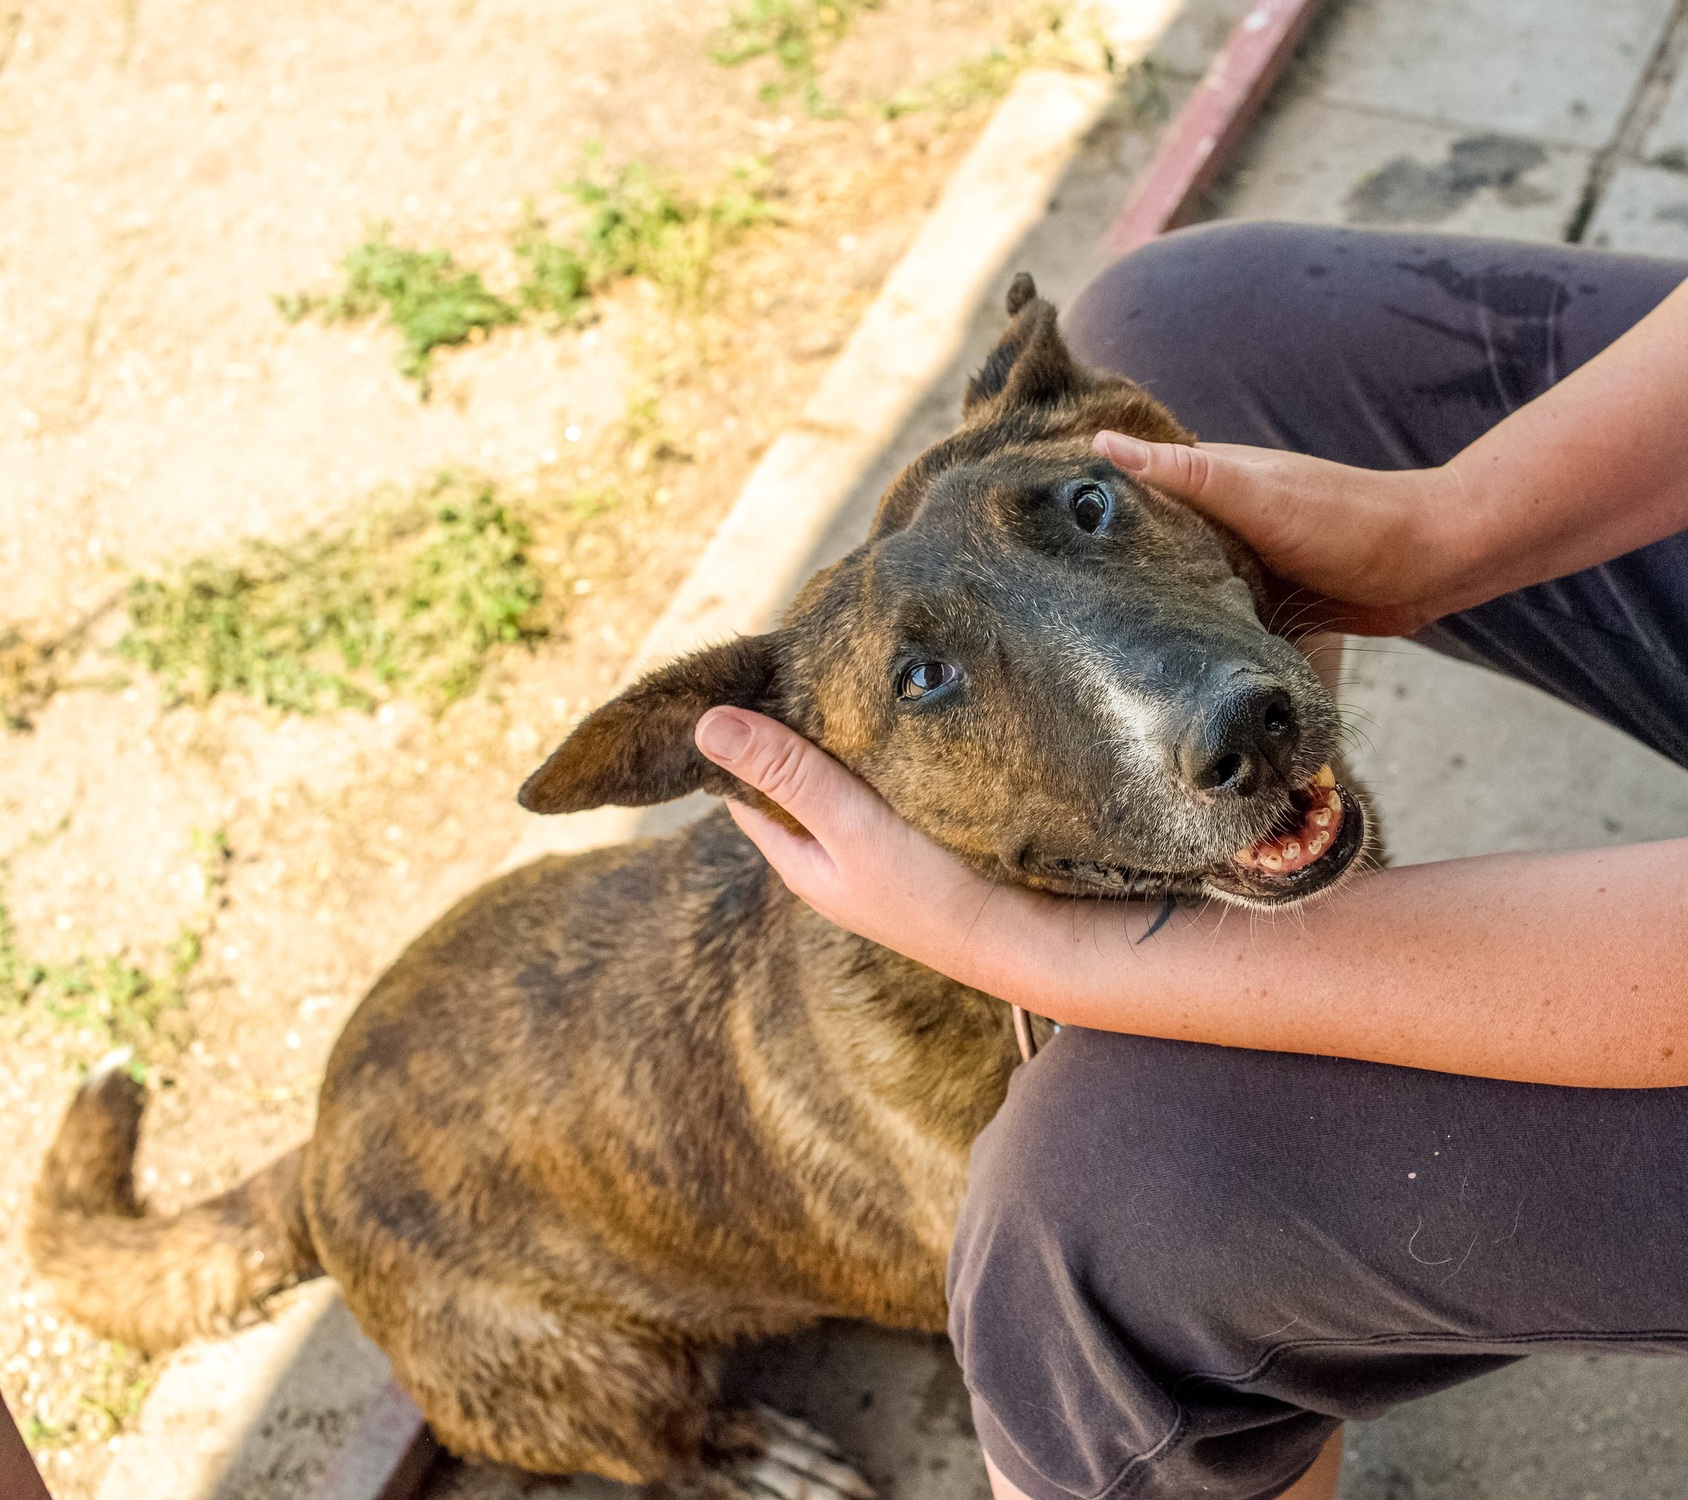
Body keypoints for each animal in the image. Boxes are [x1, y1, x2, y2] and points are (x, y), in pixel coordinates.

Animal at [29, 278, 1370, 1484]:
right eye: (921, 680)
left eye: (1089, 504)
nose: (1243, 731)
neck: (973, 989)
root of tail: (315, 1149)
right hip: (578, 1371)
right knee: (656, 1444)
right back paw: (746, 1452)